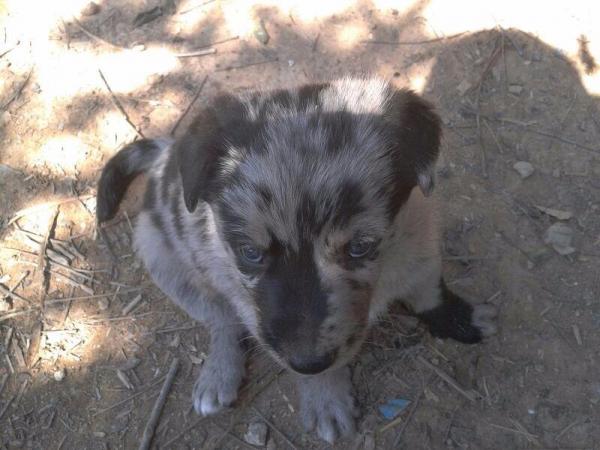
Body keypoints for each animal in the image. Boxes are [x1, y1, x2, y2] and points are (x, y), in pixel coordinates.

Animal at [96, 77, 494, 442]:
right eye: (250, 253)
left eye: (360, 246)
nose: (307, 361)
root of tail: (166, 156)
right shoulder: (248, 300)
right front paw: (325, 398)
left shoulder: (420, 243)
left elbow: (430, 294)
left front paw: (462, 319)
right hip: (166, 261)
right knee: (220, 319)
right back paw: (219, 374)